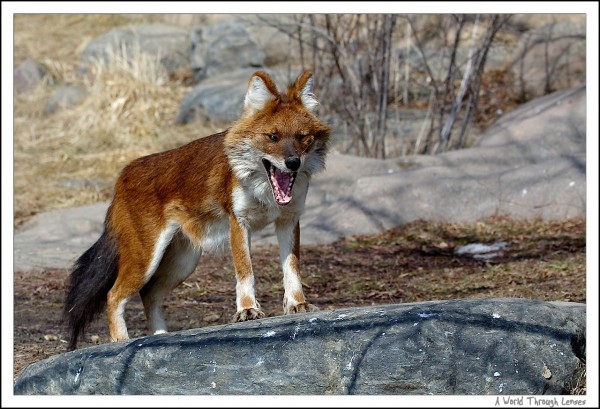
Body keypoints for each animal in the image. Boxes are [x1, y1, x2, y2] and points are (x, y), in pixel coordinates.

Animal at [63, 71, 330, 350]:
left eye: (302, 137)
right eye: (273, 137)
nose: (293, 162)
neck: (264, 191)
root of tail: (123, 175)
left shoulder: (289, 220)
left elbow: (292, 268)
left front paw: (298, 303)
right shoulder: (239, 222)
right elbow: (245, 270)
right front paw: (247, 310)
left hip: (184, 261)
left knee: (149, 293)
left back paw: (160, 337)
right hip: (146, 258)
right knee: (114, 294)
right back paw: (121, 341)